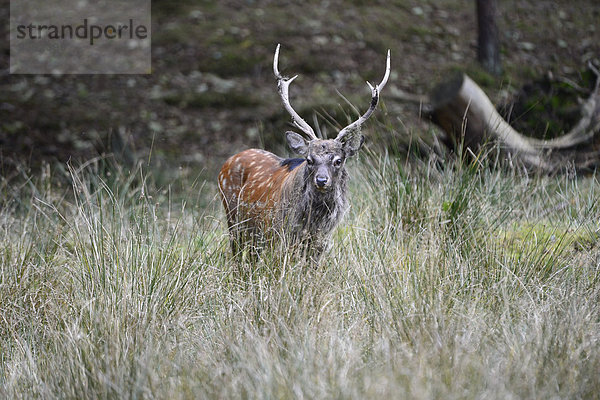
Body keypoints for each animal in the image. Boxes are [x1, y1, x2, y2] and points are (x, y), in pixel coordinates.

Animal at [218, 44, 392, 262]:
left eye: (338, 160)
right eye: (309, 159)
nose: (321, 180)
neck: (313, 223)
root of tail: (228, 161)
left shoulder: (322, 242)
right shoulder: (280, 235)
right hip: (234, 219)